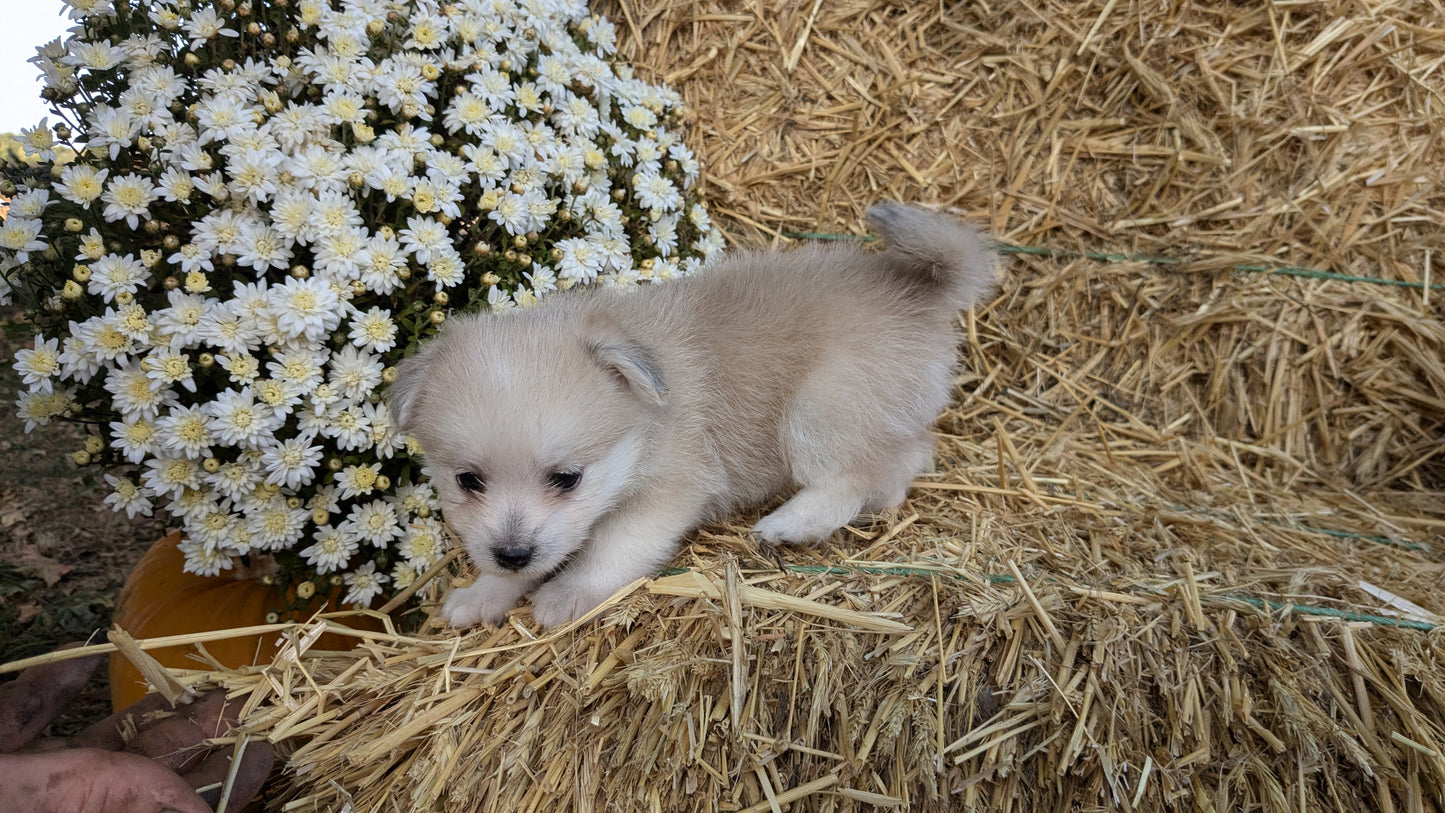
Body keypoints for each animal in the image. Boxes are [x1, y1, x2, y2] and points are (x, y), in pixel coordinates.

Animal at [390, 203, 999, 629]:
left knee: (859, 477)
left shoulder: (668, 492)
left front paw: (568, 594)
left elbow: (612, 547)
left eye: (567, 478)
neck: (643, 425)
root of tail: (920, 293)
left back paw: (787, 524)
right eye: (467, 481)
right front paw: (484, 595)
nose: (512, 554)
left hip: (817, 411)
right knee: (905, 460)